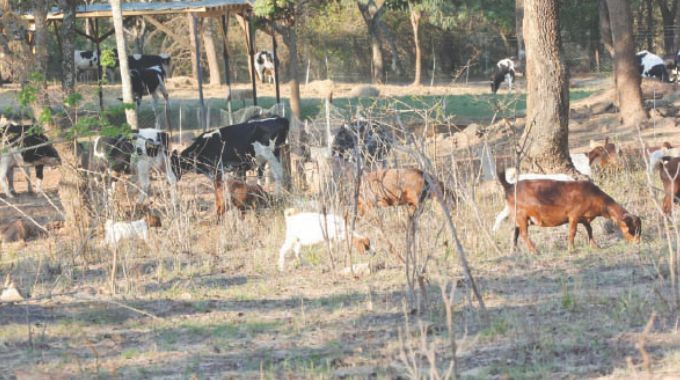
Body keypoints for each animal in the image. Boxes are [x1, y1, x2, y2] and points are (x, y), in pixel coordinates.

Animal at [496, 167, 640, 252]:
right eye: (631, 229)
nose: (637, 243)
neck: (593, 196)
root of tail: (510, 186)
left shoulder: (584, 218)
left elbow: (590, 230)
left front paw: (595, 245)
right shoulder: (574, 216)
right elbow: (572, 232)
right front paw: (571, 249)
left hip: (517, 217)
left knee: (514, 233)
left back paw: (514, 251)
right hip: (522, 216)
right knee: (524, 234)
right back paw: (535, 251)